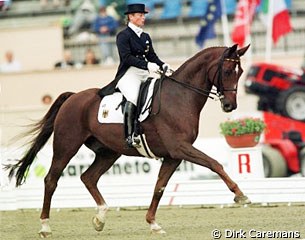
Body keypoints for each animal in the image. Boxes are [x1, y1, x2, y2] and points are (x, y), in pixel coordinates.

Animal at [7, 44, 249, 237]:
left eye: (241, 72)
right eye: (228, 70)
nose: (230, 106)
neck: (180, 96)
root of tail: (73, 96)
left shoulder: (173, 156)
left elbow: (159, 187)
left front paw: (153, 224)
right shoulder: (180, 148)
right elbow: (214, 163)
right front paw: (240, 195)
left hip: (108, 152)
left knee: (88, 177)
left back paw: (100, 218)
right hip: (66, 146)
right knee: (51, 180)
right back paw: (45, 227)